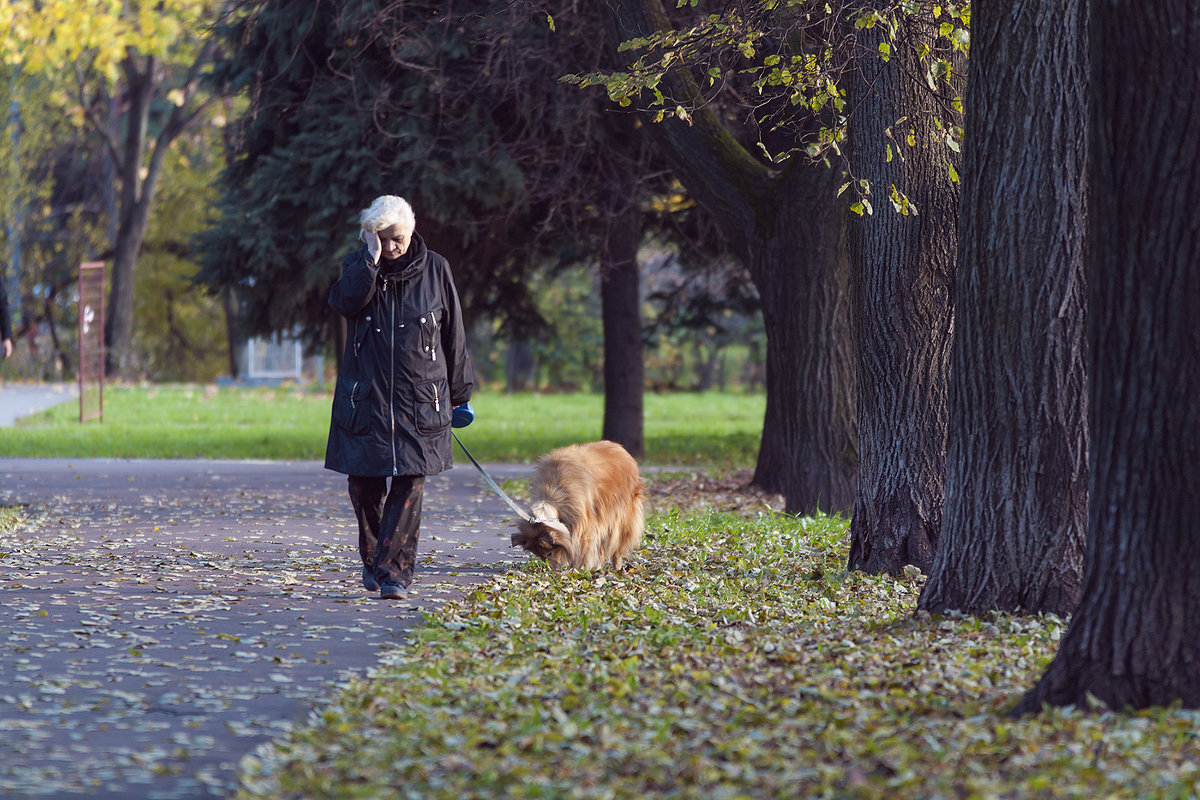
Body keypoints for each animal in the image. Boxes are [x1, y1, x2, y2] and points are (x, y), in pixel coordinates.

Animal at [508, 441, 643, 573]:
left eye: (549, 553)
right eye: (541, 556)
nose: (554, 570)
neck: (553, 494)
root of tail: (622, 450)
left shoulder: (582, 524)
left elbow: (580, 549)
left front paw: (575, 570)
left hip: (618, 520)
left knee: (615, 547)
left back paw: (617, 569)